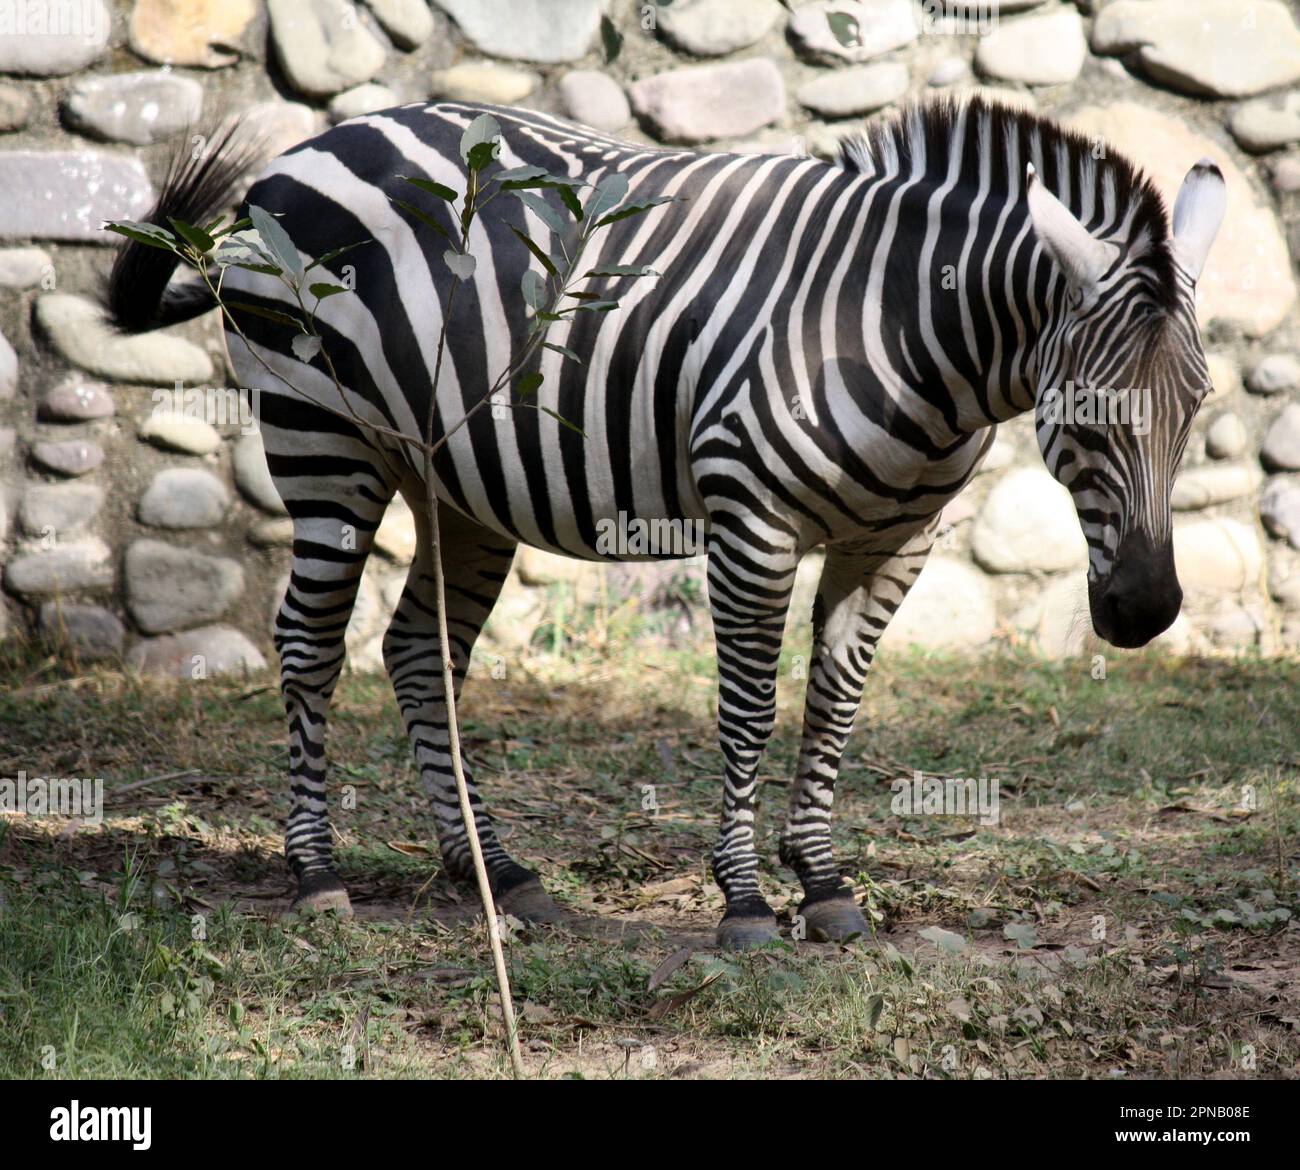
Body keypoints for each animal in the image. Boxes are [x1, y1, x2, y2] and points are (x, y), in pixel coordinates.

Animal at [107, 96, 1225, 949]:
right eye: (1088, 417)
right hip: (319, 437)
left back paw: (494, 870)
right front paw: (745, 902)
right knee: (308, 643)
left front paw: (823, 885)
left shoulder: (892, 543)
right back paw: (316, 873)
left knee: (420, 651)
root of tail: (317, 141)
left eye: (1197, 410)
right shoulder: (751, 523)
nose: (1144, 611)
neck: (907, 328)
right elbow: (747, 709)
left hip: (456, 481)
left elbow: (833, 706)